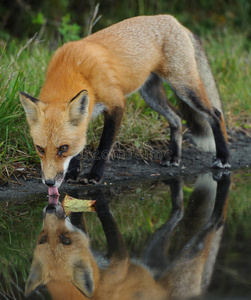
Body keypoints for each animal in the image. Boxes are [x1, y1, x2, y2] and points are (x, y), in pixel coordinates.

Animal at [19, 14, 230, 191]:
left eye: (62, 149)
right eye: (40, 149)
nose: (49, 183)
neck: (75, 69)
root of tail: (174, 20)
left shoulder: (116, 103)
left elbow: (103, 147)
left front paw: (94, 176)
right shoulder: (85, 116)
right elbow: (79, 147)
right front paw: (72, 173)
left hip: (184, 87)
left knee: (215, 114)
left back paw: (223, 157)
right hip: (151, 95)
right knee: (177, 118)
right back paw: (174, 157)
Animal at [24, 175, 230, 298]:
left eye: (65, 240)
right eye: (43, 238)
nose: (50, 209)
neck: (99, 276)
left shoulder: (120, 259)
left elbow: (107, 220)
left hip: (189, 255)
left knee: (213, 225)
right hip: (154, 250)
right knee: (178, 215)